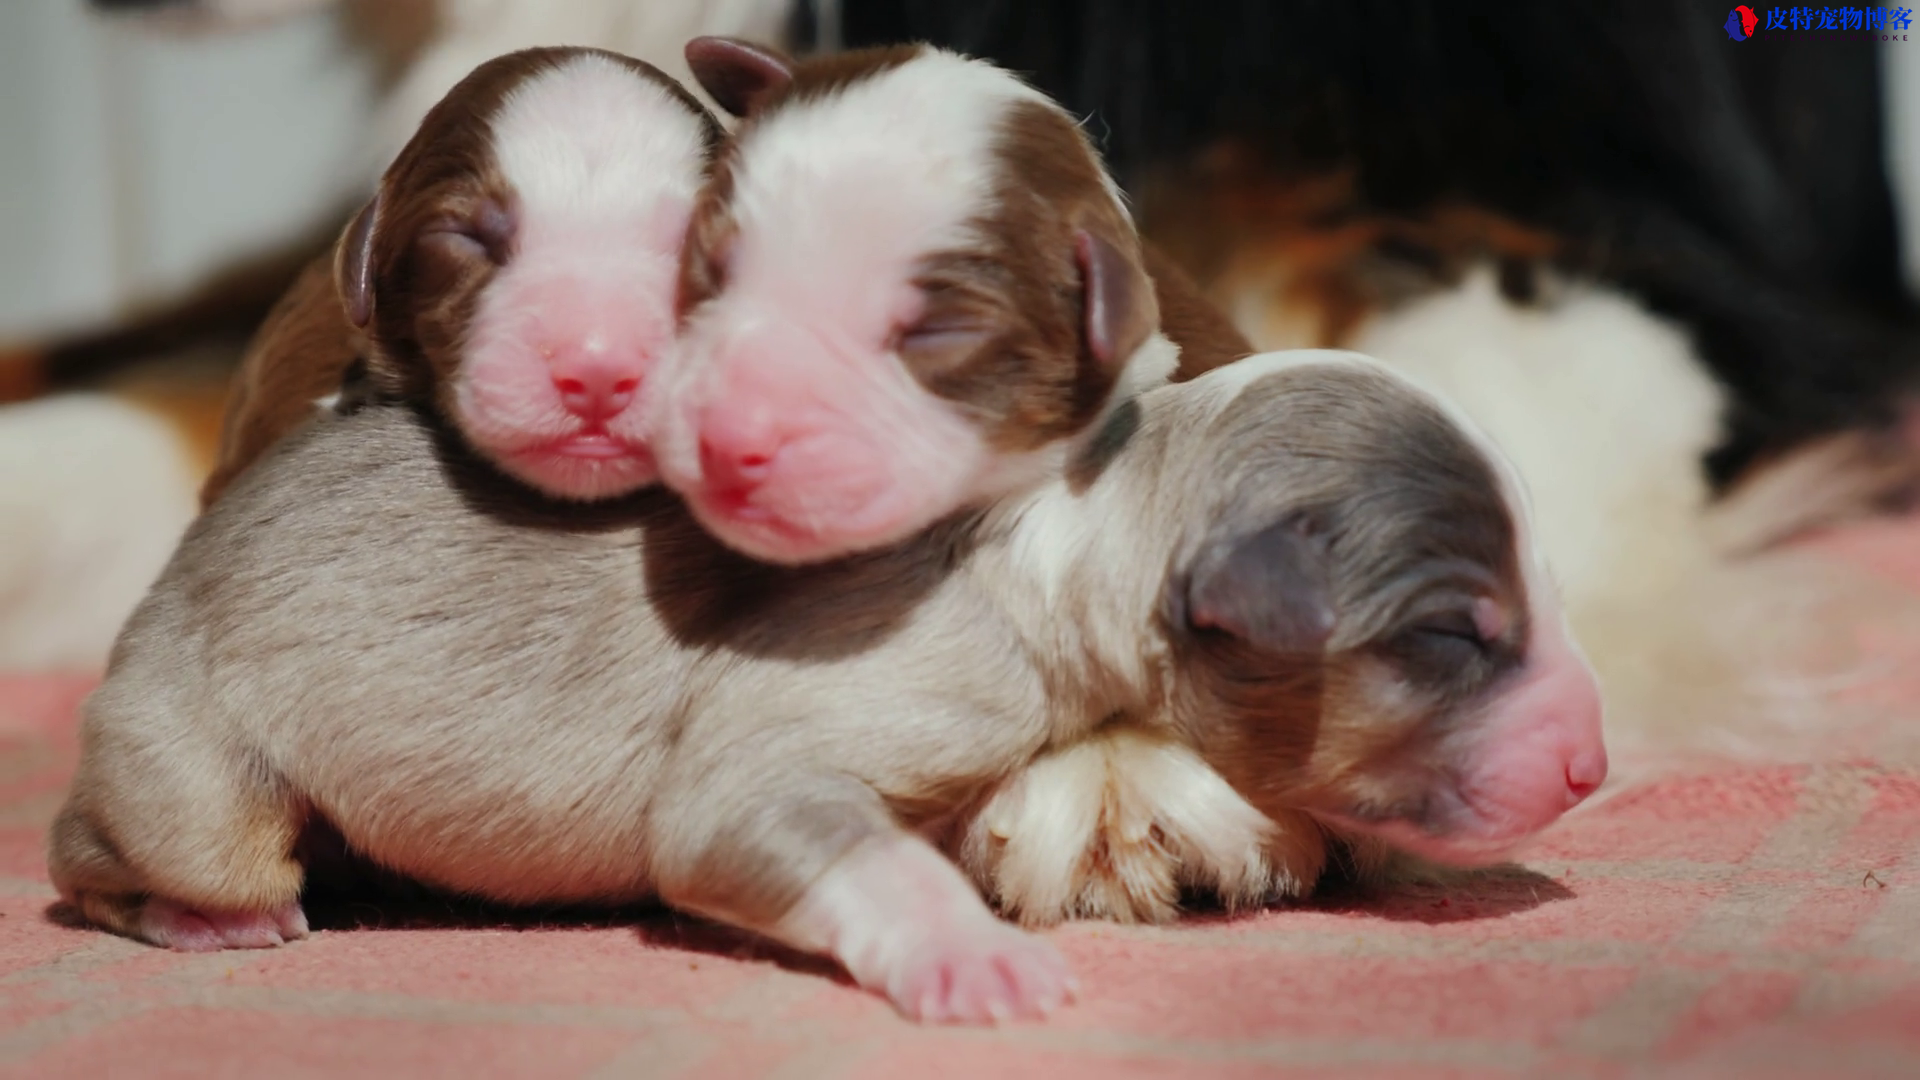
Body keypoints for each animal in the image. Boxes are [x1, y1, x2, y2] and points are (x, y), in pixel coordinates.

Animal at [48, 349, 1605, 1022]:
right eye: (1453, 635)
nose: (1595, 766)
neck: (1098, 511)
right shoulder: (841, 704)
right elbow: (776, 820)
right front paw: (975, 955)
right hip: (198, 767)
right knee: (111, 853)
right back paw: (197, 915)